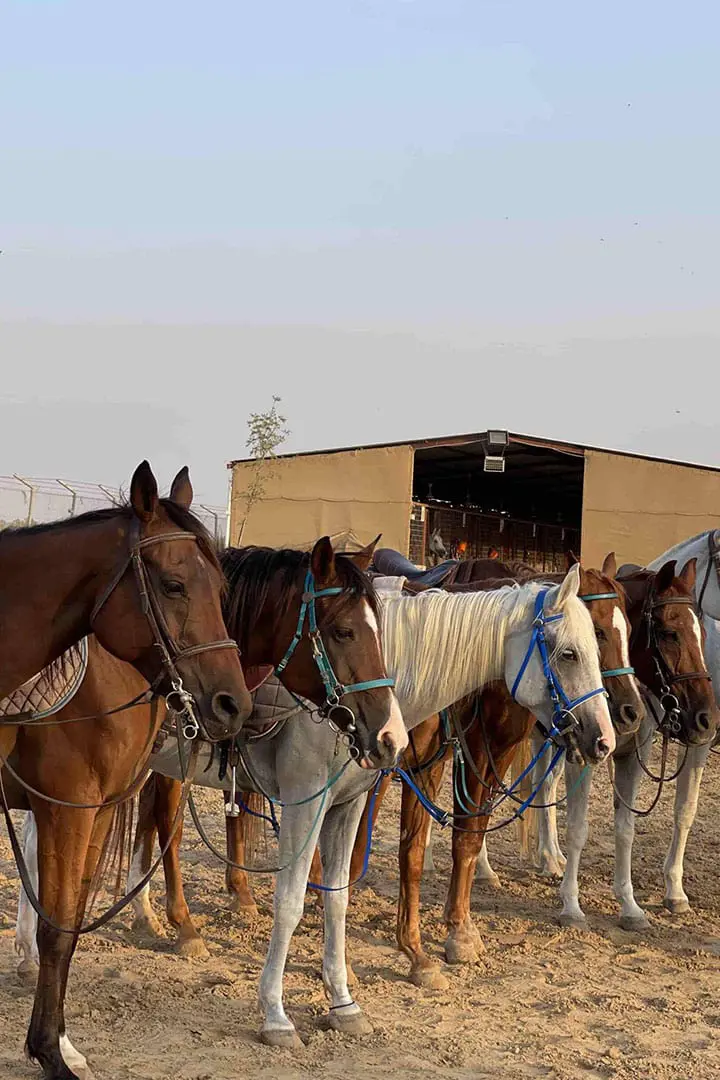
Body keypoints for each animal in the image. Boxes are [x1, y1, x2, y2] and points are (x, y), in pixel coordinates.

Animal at [107, 564, 614, 1049]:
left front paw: (343, 1002)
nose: (604, 739)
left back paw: (148, 916)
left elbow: (339, 896)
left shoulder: (348, 803)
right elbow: (291, 902)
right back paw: (184, 929)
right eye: (569, 653)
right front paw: (275, 1015)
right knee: (165, 824)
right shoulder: (305, 803)